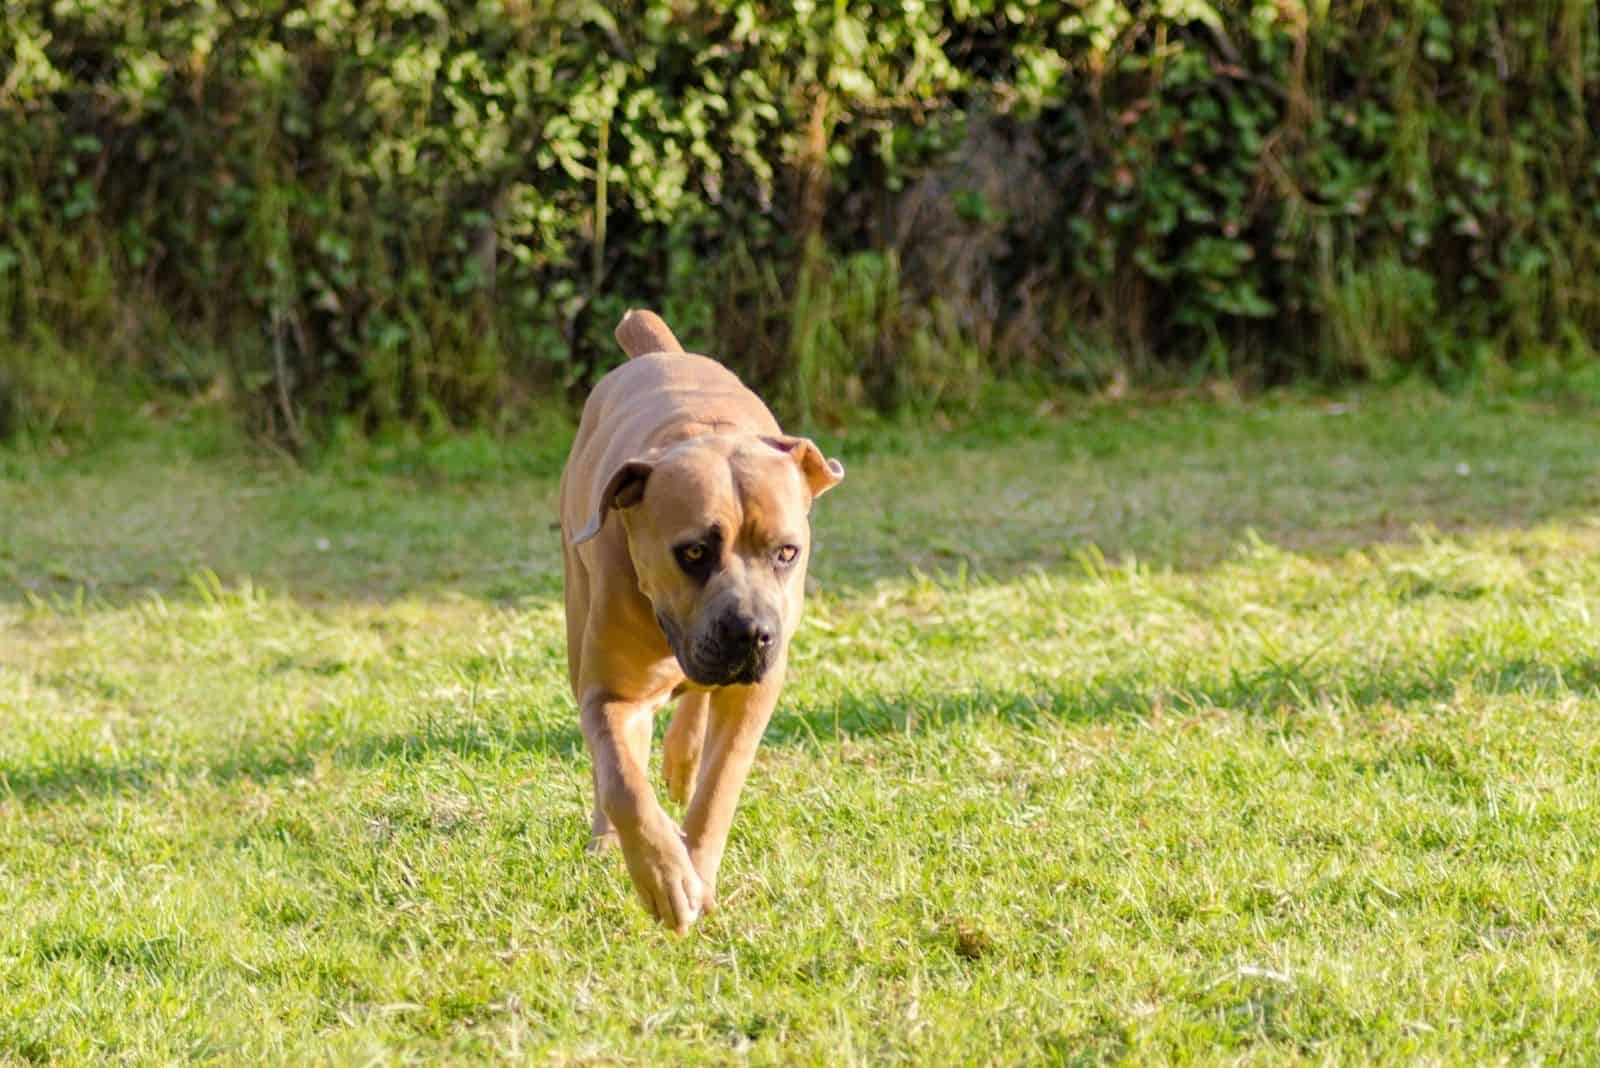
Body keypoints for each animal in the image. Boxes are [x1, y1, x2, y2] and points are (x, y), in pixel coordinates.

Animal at [560, 310, 844, 933]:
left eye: (787, 552)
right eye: (692, 552)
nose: (752, 633)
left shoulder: (754, 693)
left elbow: (719, 786)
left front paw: (697, 868)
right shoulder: (609, 693)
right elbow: (622, 780)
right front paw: (665, 875)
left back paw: (682, 759)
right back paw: (607, 838)